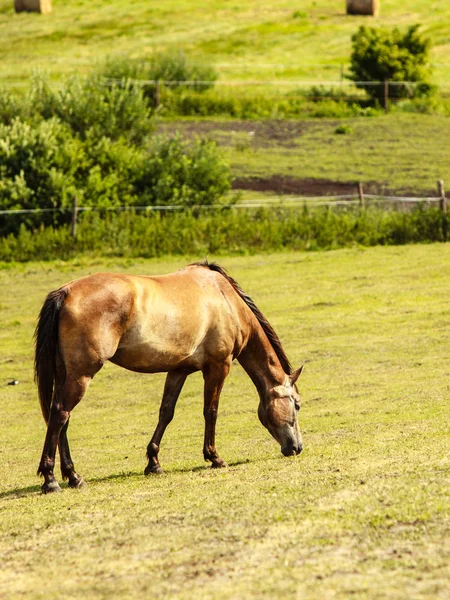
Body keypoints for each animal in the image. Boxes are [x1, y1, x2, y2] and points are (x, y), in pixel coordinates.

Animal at [34, 262, 302, 492]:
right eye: (297, 405)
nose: (297, 447)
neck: (226, 300)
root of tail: (65, 292)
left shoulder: (178, 370)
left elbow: (166, 412)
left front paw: (154, 462)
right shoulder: (219, 366)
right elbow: (211, 412)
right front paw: (214, 457)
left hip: (66, 375)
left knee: (62, 420)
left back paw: (73, 476)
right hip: (81, 375)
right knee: (60, 415)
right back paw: (51, 479)